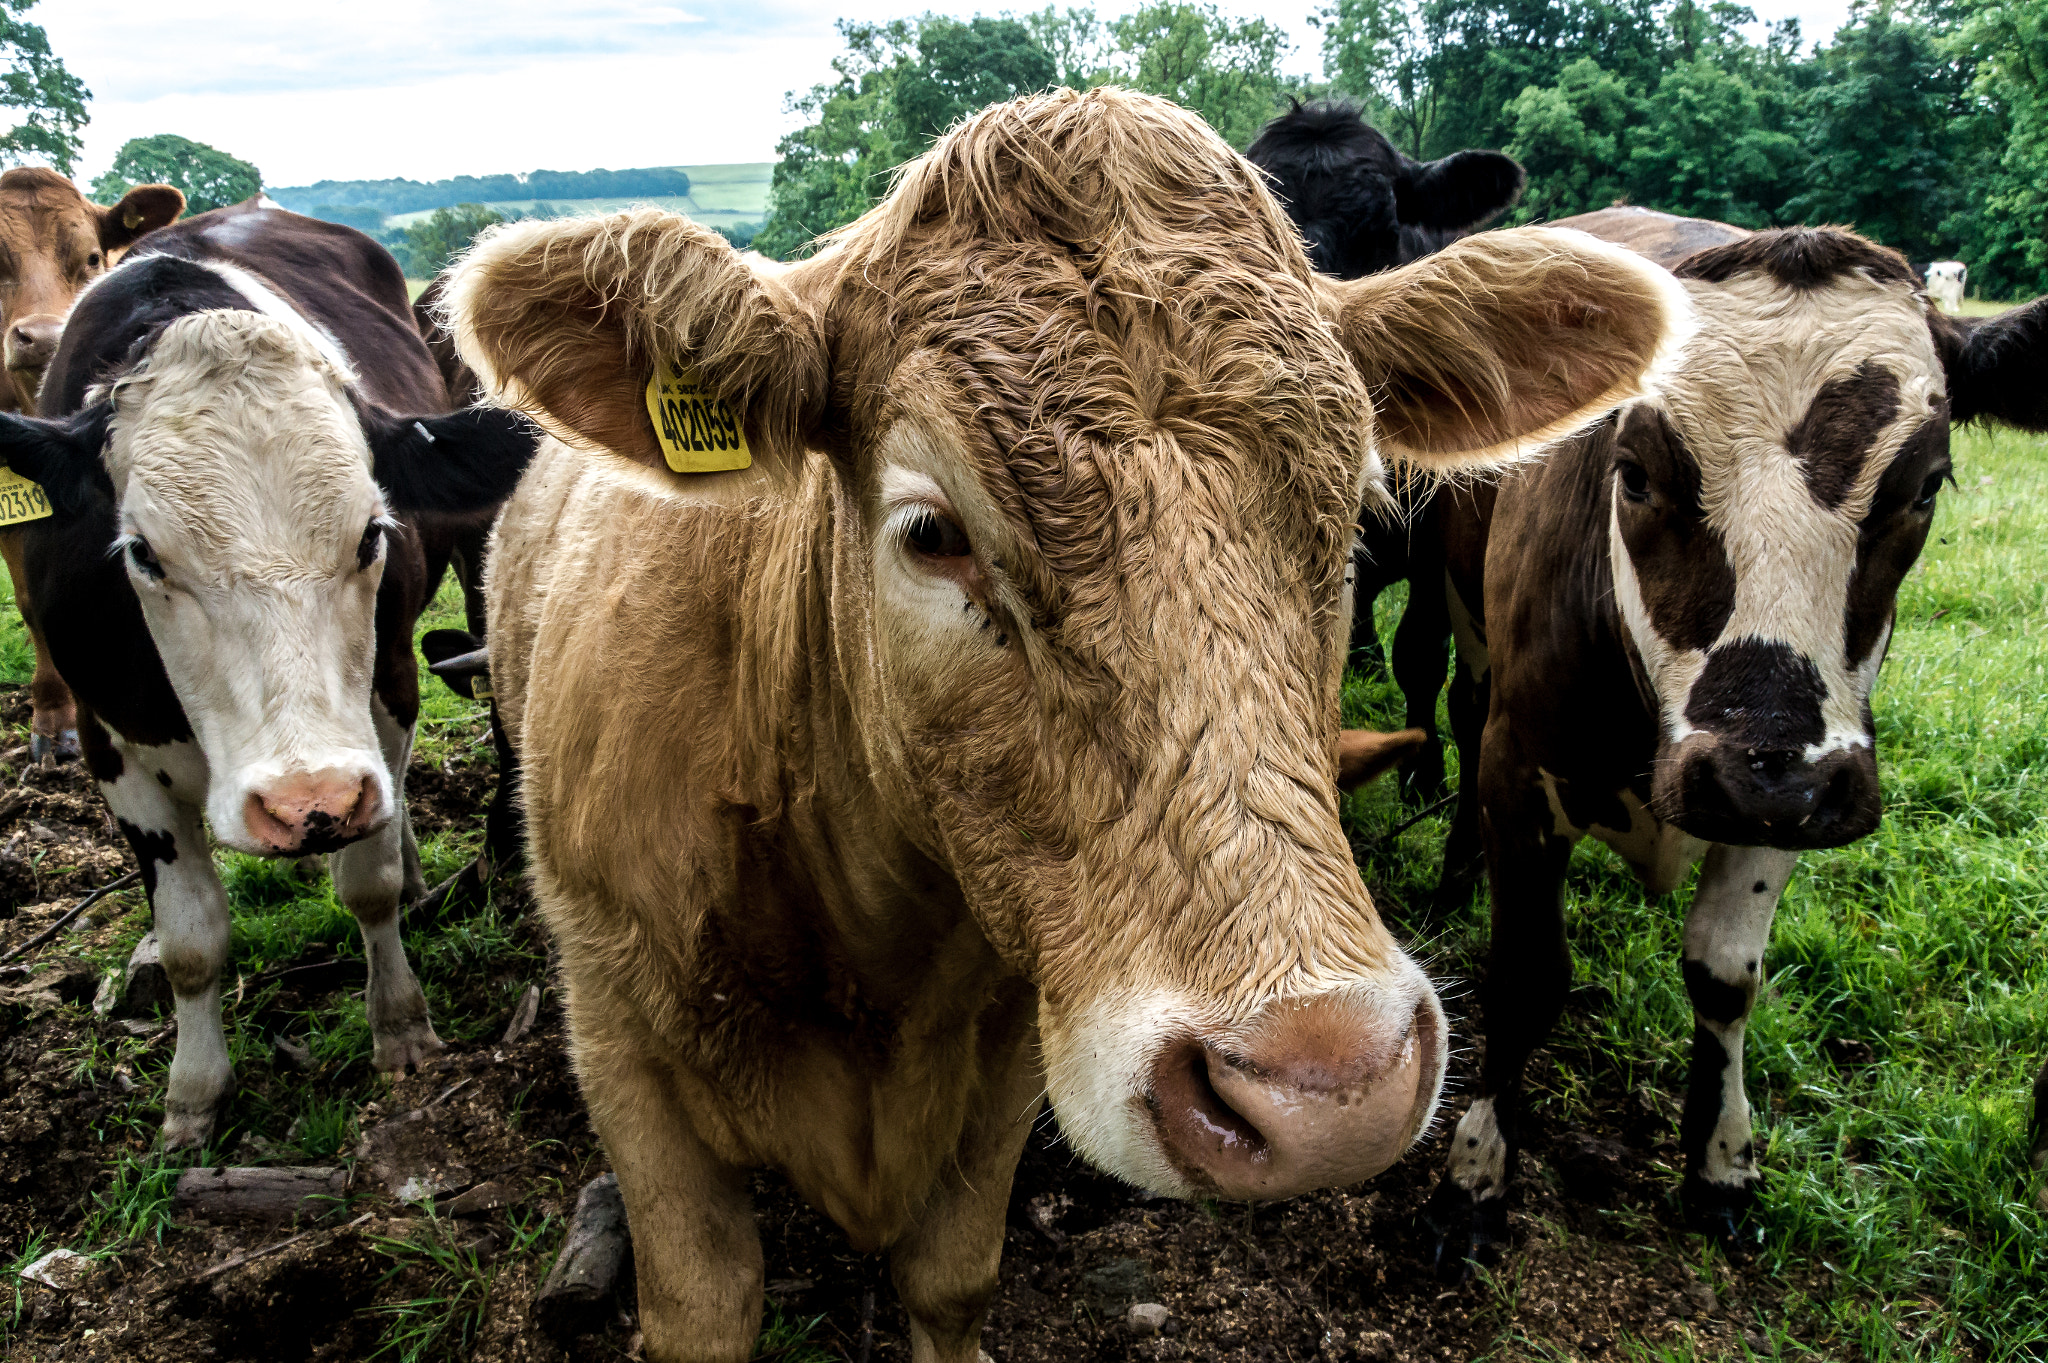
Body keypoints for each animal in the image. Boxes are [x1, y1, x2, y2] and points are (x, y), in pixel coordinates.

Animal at [440, 87, 1687, 1358]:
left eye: (1352, 515)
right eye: (931, 533)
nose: (1324, 1085)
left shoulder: (1009, 1048)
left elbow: (952, 1276)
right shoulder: (622, 1048)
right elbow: (705, 1303)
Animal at [1417, 206, 2048, 1268]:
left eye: (1926, 485)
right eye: (1635, 473)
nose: (1762, 772)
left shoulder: (1796, 791)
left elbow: (1722, 977)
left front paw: (1719, 1159)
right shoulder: (1520, 765)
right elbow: (1527, 973)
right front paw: (1476, 1174)